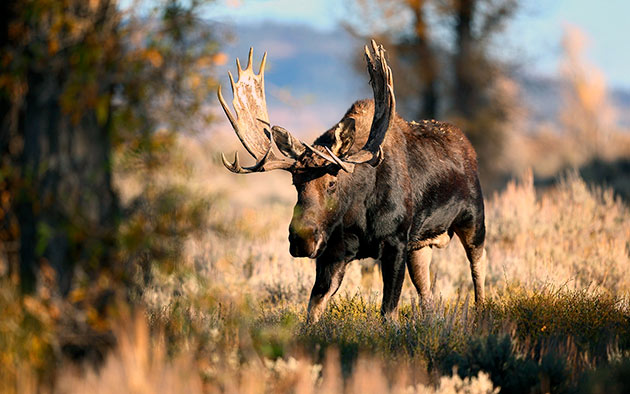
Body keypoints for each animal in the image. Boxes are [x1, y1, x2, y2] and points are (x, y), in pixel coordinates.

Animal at [218, 41, 488, 322]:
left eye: (332, 183)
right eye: (295, 183)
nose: (301, 238)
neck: (359, 212)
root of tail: (467, 146)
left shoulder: (395, 241)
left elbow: (389, 311)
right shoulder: (333, 251)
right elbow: (314, 307)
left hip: (473, 219)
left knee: (478, 266)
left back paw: (482, 310)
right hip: (421, 243)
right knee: (426, 289)